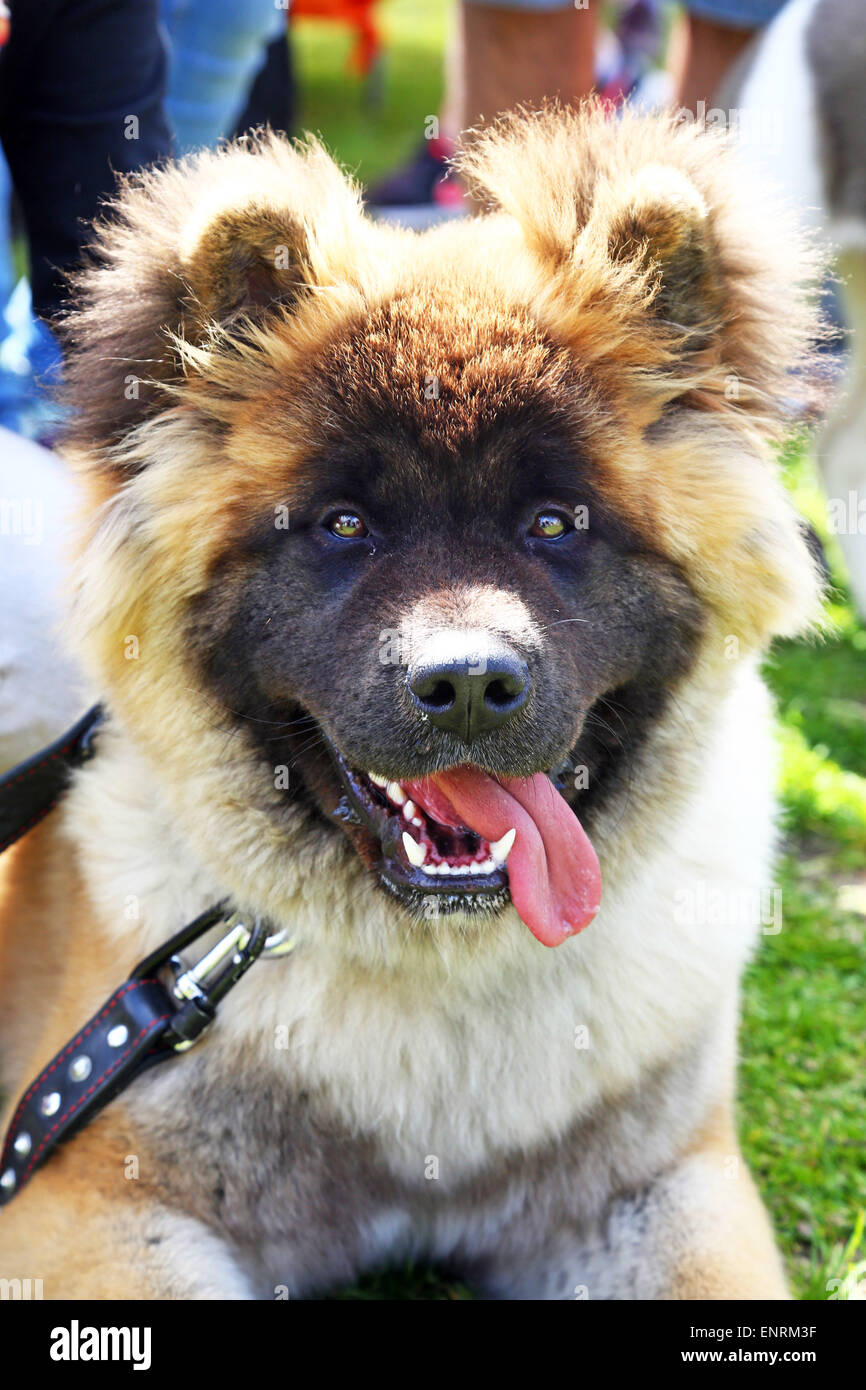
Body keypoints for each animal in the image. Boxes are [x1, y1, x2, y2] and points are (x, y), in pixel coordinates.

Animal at [0, 102, 822, 1295]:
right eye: (345, 525)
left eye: (554, 523)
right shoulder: (94, 1198)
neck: (441, 980)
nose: (469, 685)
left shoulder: (664, 1179)